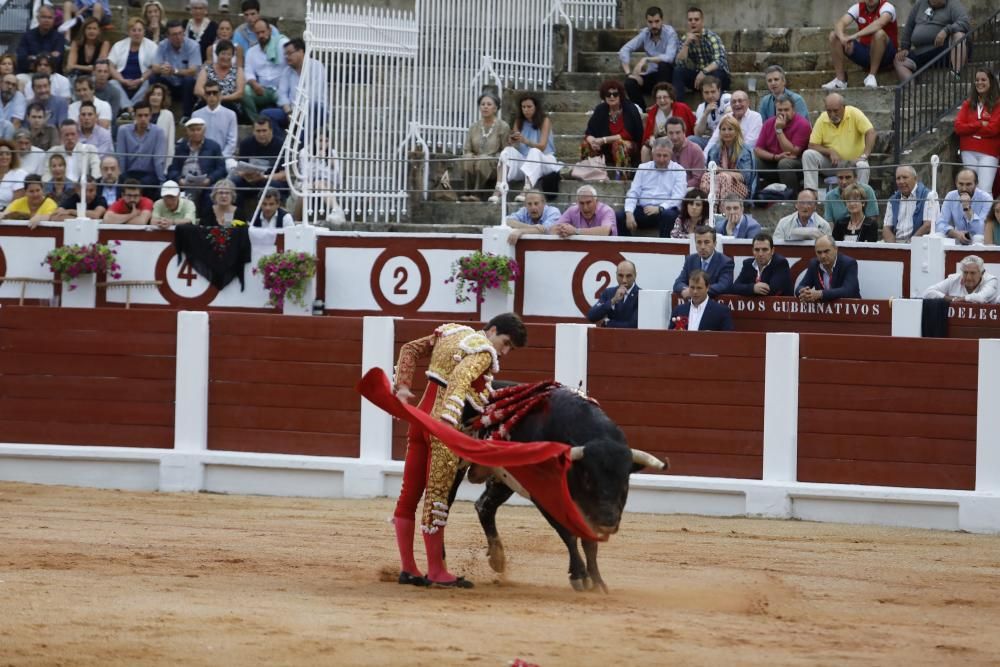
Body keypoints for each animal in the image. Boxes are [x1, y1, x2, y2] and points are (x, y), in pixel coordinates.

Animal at [450, 384, 668, 592]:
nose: (608, 521)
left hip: (503, 480)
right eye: (588, 479)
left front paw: (597, 582)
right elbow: (568, 533)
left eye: (625, 480)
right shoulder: (545, 498)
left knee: (484, 506)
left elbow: (590, 542)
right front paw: (580, 577)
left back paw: (497, 558)